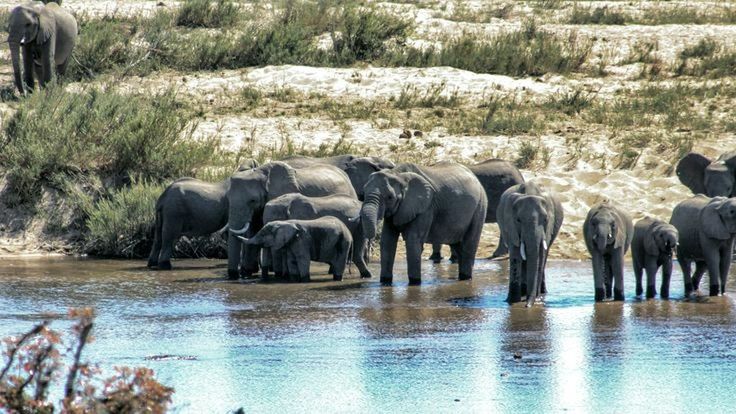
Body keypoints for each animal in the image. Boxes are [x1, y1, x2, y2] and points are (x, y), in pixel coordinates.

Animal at [358, 162, 486, 284]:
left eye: (390, 197)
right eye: (363, 194)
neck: (397, 174)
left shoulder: (426, 207)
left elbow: (413, 240)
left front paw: (414, 283)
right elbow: (387, 241)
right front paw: (385, 282)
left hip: (480, 207)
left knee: (469, 245)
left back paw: (466, 278)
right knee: (458, 246)